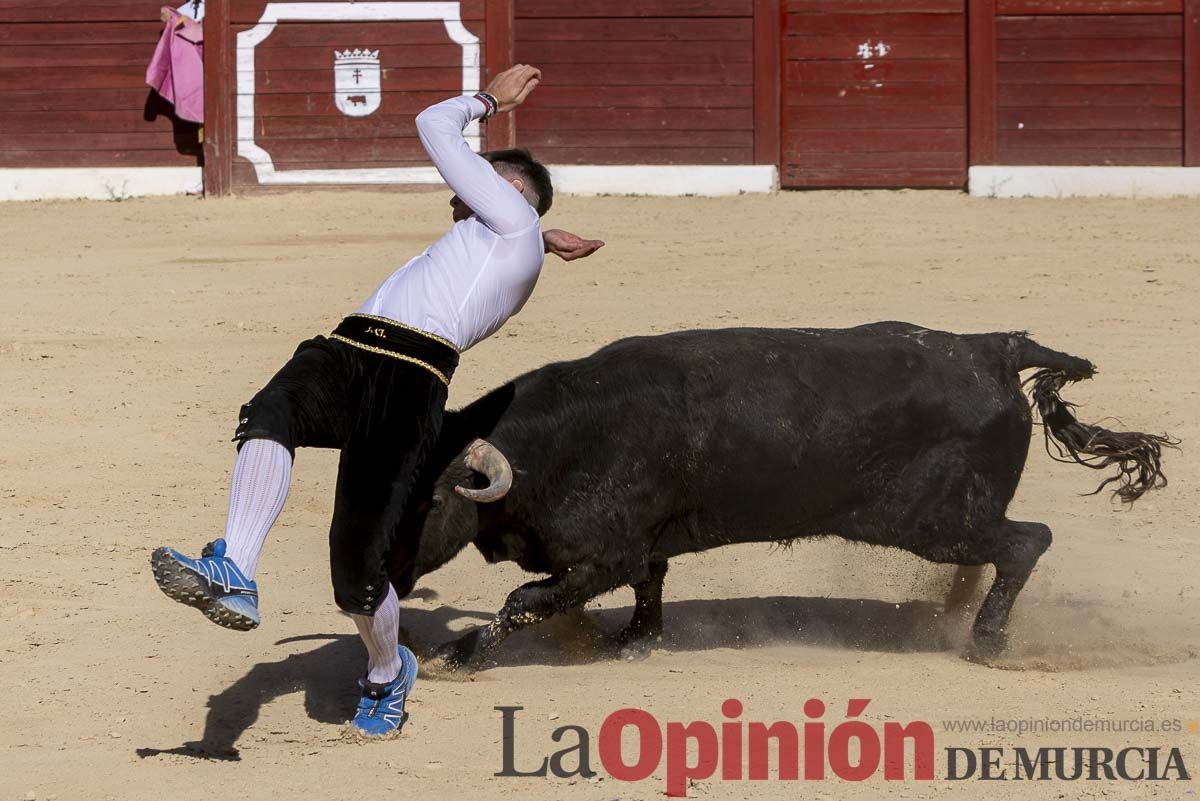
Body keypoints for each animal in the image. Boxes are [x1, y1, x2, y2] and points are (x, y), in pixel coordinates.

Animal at [384, 323, 1171, 671]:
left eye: (430, 502)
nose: (374, 580)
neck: (555, 445)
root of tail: (992, 348)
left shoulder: (605, 552)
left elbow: (525, 599)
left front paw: (458, 654)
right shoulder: (638, 547)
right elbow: (648, 584)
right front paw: (637, 642)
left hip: (934, 519)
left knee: (1026, 541)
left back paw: (985, 642)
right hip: (956, 516)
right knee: (999, 551)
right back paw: (952, 619)